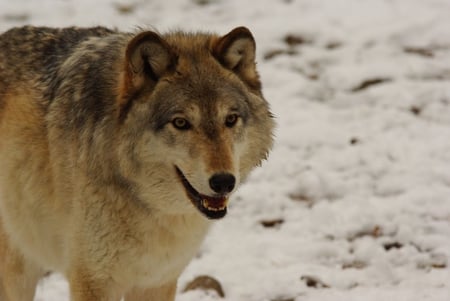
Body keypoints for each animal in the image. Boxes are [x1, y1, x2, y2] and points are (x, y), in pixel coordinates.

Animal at [0, 25, 272, 300]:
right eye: (180, 122)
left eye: (231, 119)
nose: (224, 181)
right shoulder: (93, 281)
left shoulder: (157, 280)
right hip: (17, 272)